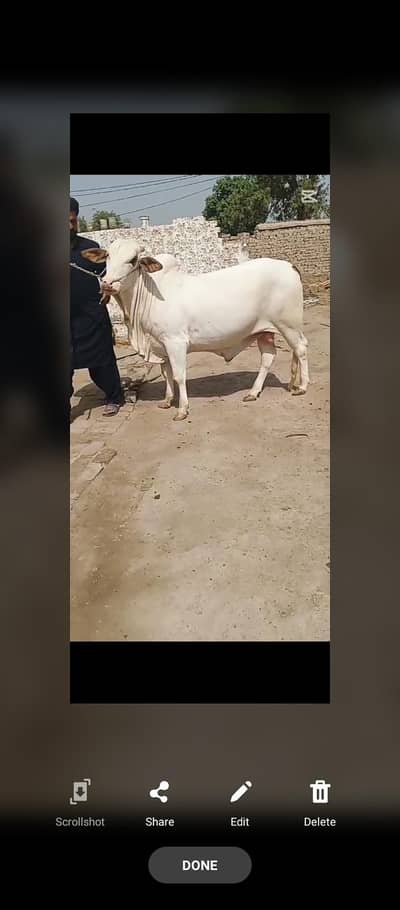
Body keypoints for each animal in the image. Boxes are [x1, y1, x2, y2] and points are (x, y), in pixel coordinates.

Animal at [82, 239, 309, 421]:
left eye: (133, 259)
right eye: (108, 256)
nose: (107, 284)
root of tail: (289, 266)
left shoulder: (175, 342)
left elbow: (179, 375)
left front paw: (182, 409)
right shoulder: (160, 345)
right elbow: (166, 374)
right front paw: (167, 400)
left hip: (288, 324)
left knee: (301, 349)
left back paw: (302, 387)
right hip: (263, 331)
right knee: (268, 358)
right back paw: (254, 392)